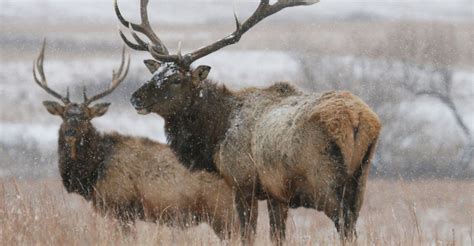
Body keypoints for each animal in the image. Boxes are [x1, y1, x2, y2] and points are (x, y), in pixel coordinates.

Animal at [33, 40, 237, 240]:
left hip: (223, 214)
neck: (93, 173)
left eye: (86, 117)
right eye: (64, 115)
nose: (70, 132)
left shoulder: (122, 206)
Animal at [115, 0, 382, 244]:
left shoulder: (242, 183)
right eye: (156, 73)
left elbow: (247, 235)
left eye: (176, 80)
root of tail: (358, 118)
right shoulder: (276, 194)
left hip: (324, 179)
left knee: (344, 223)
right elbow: (277, 236)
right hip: (361, 178)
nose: (135, 97)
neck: (216, 133)